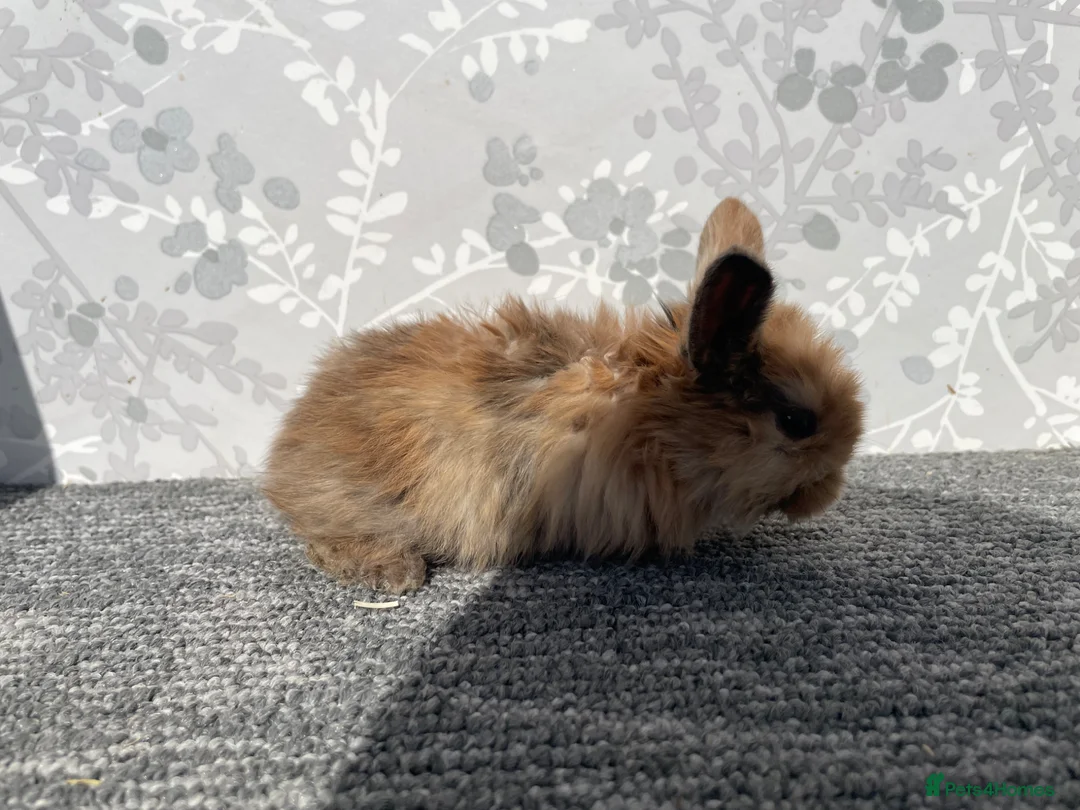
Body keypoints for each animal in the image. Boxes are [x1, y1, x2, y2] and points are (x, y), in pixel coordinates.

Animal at [262, 197, 865, 593]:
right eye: (797, 421)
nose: (830, 492)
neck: (658, 421)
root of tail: (284, 458)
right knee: (323, 539)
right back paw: (396, 574)